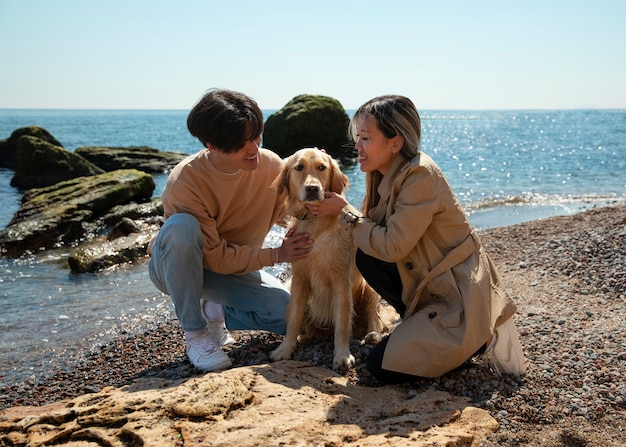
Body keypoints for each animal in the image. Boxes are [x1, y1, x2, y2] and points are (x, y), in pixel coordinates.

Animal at [270, 149, 386, 370]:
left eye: (321, 167)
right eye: (299, 167)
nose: (312, 188)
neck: (314, 220)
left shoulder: (341, 279)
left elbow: (342, 322)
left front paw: (342, 355)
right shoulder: (299, 278)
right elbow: (294, 318)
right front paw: (285, 349)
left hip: (367, 288)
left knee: (375, 318)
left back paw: (372, 334)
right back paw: (305, 337)